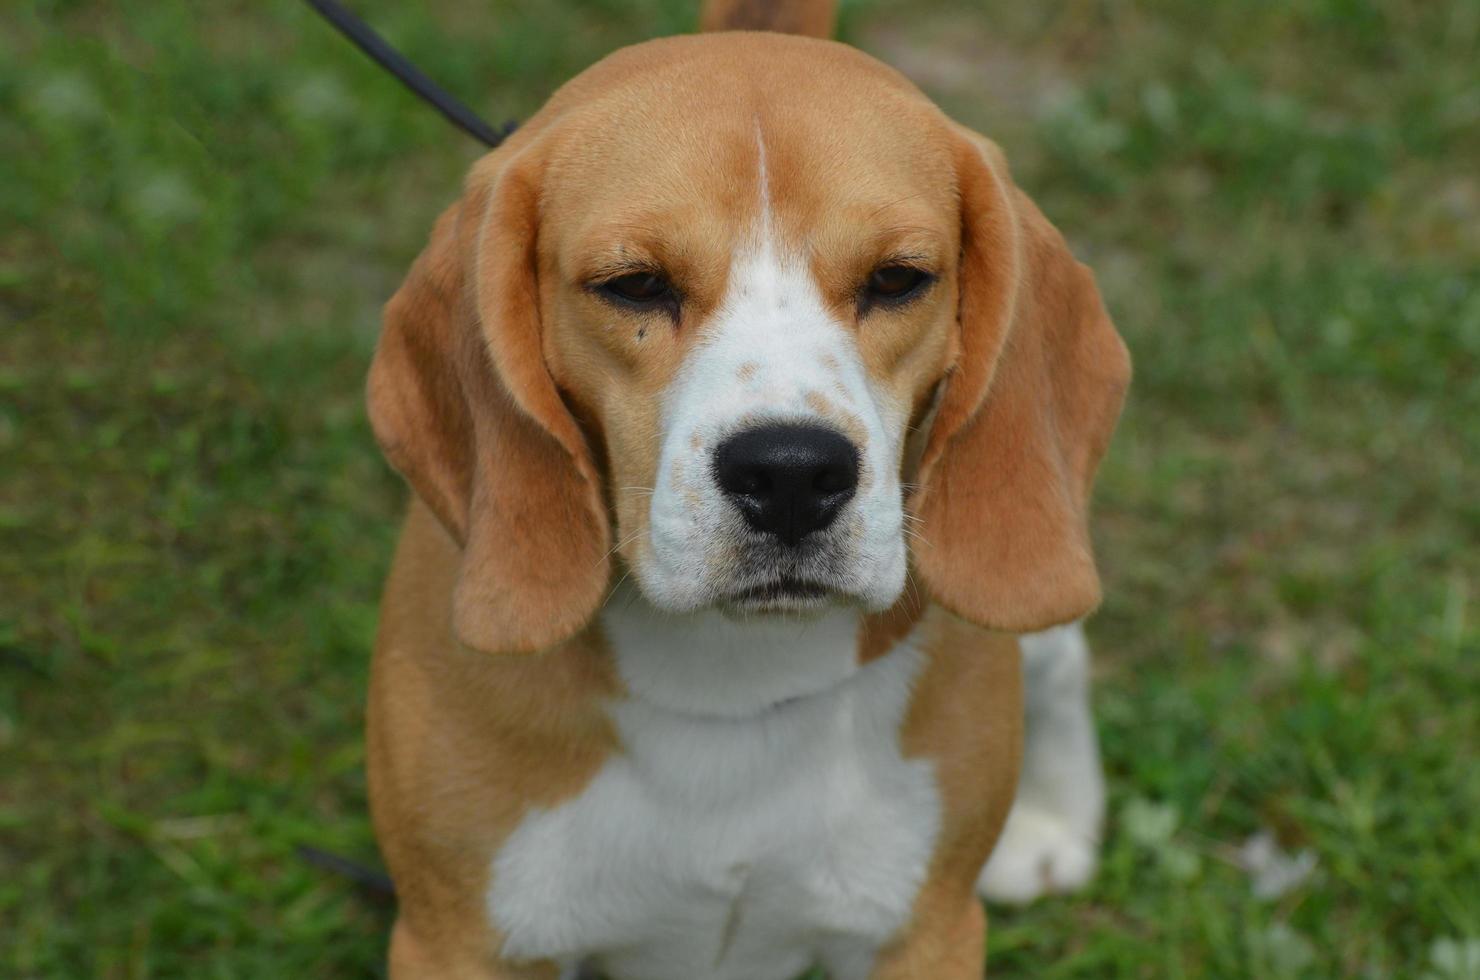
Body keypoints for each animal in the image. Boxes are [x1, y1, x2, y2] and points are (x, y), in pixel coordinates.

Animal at [364, 3, 1124, 977]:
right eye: (634, 284)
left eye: (898, 278)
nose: (792, 473)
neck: (730, 679)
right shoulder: (458, 943)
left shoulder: (921, 936)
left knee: (1057, 650)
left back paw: (1048, 818)